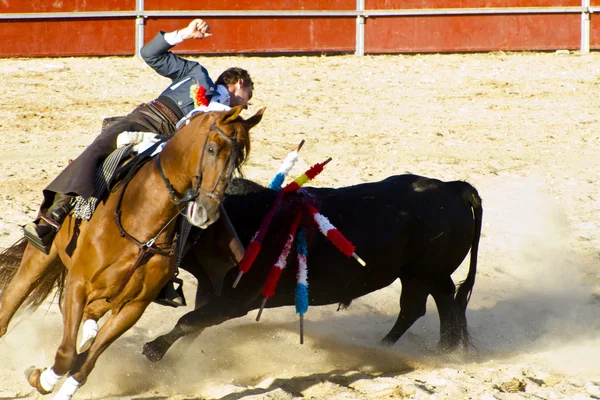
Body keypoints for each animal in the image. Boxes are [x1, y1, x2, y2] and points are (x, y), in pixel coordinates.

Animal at [0, 104, 264, 398]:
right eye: (212, 149)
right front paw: (41, 378)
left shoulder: (133, 307)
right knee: (12, 301)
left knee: (90, 321)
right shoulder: (78, 284)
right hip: (41, 256)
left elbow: (84, 364)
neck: (143, 224)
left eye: (239, 159)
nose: (209, 211)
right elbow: (67, 354)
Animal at [142, 175, 482, 362]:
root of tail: (452, 188)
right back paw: (431, 350)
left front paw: (154, 351)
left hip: (423, 274)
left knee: (428, 305)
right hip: (422, 276)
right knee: (433, 305)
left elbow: (190, 320)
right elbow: (196, 323)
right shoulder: (211, 290)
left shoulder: (237, 300)